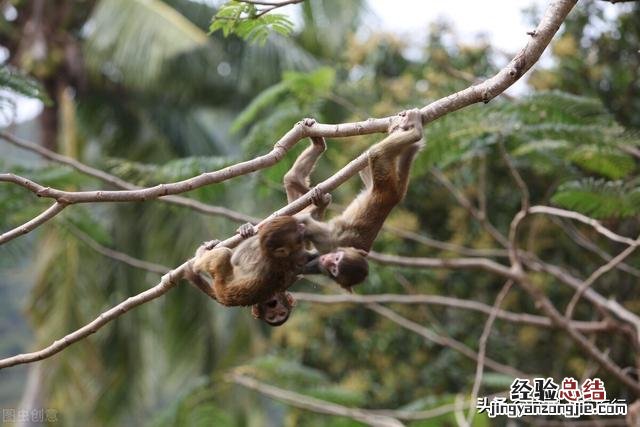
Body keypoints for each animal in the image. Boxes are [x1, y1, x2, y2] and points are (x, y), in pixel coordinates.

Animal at [298, 108, 424, 292]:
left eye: (335, 268)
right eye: (334, 263)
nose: (327, 262)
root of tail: (392, 198)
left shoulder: (326, 240)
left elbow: (305, 227)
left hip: (384, 183)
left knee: (376, 156)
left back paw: (412, 134)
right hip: (387, 184)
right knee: (375, 160)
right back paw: (406, 132)